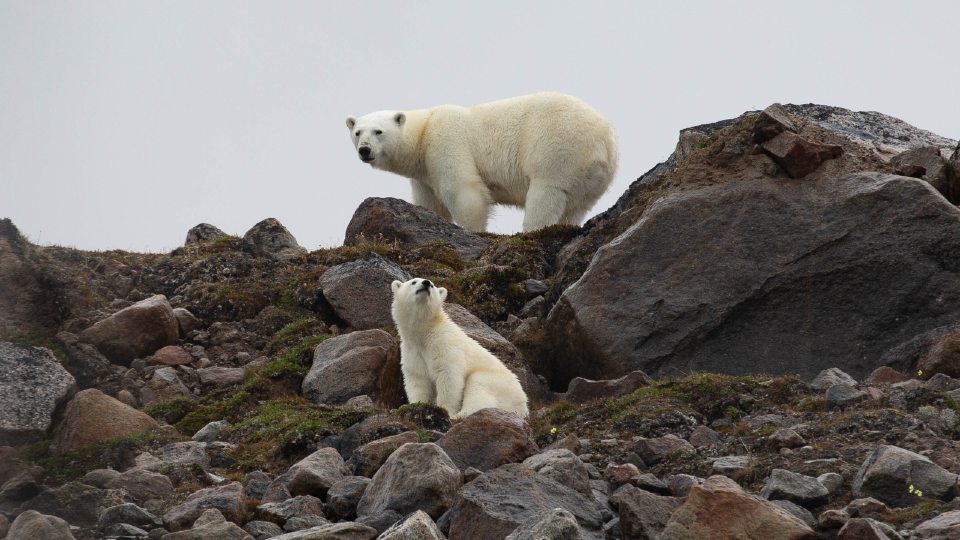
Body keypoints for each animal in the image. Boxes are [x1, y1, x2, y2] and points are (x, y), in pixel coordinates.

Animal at [348, 92, 620, 231]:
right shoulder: (423, 173)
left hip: (556, 145)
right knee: (575, 206)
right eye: (358, 132)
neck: (423, 131)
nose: (364, 150)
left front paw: (472, 232)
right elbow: (431, 204)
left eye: (378, 131)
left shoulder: (446, 142)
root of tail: (604, 139)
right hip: (589, 177)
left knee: (545, 194)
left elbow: (464, 192)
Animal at [392, 276, 532, 420]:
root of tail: (524, 405)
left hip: (499, 384)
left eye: (433, 285)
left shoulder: (445, 344)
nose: (426, 283)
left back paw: (461, 414)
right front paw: (412, 406)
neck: (425, 333)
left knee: (478, 387)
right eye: (413, 282)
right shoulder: (412, 351)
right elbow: (418, 380)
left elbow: (448, 376)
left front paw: (445, 410)